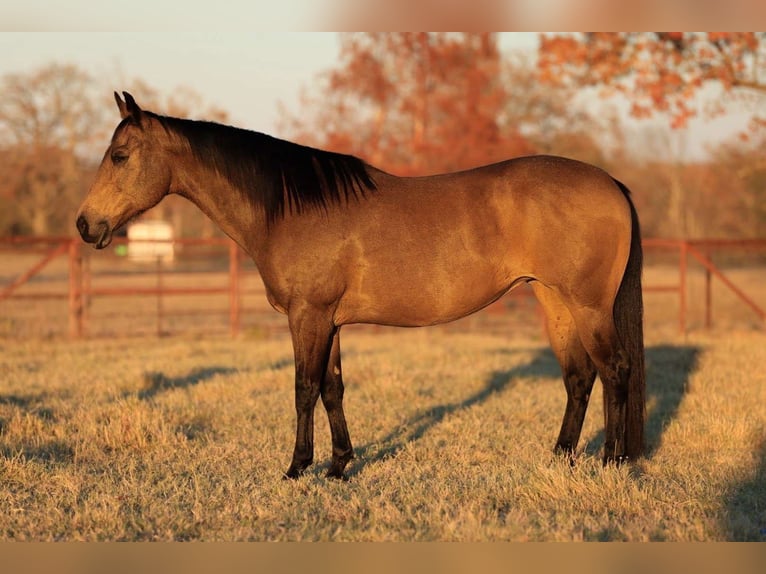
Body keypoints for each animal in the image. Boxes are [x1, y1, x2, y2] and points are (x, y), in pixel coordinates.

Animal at [76, 93, 640, 482]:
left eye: (120, 155)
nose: (85, 225)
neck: (291, 208)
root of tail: (612, 183)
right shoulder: (329, 320)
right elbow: (333, 388)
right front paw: (338, 465)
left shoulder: (308, 315)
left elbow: (304, 388)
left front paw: (297, 468)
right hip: (555, 301)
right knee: (579, 377)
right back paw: (562, 456)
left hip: (588, 306)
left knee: (614, 370)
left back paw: (612, 461)